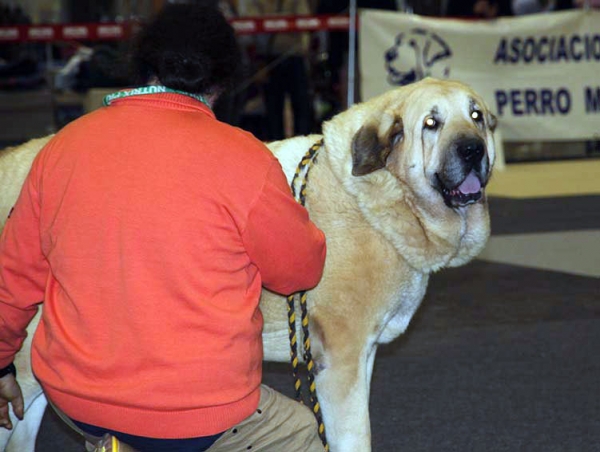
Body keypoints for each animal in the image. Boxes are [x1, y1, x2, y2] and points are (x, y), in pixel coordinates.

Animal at [0, 79, 496, 450]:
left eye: (476, 117)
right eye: (430, 124)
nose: (473, 149)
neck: (382, 195)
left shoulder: (363, 357)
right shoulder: (343, 362)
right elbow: (355, 438)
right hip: (24, 377)